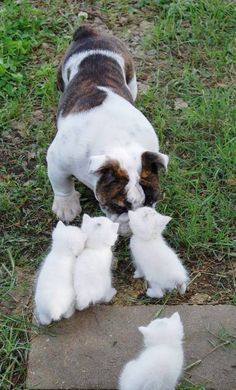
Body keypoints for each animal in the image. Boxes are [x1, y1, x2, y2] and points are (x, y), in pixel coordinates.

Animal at [46, 27, 168, 235]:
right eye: (119, 207)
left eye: (152, 200)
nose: (140, 223)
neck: (120, 143)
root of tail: (90, 33)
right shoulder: (57, 162)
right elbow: (62, 184)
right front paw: (66, 205)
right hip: (61, 77)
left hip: (131, 78)